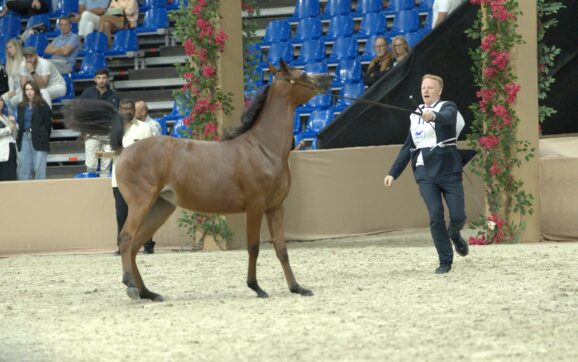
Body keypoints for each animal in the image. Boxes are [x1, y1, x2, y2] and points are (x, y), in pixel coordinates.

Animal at [65, 60, 330, 302]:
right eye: (302, 74)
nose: (328, 77)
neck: (263, 148)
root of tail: (125, 149)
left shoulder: (275, 207)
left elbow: (282, 249)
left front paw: (297, 288)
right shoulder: (255, 207)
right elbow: (254, 247)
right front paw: (256, 287)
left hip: (160, 208)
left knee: (136, 245)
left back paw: (148, 293)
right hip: (141, 204)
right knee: (127, 239)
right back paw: (131, 286)